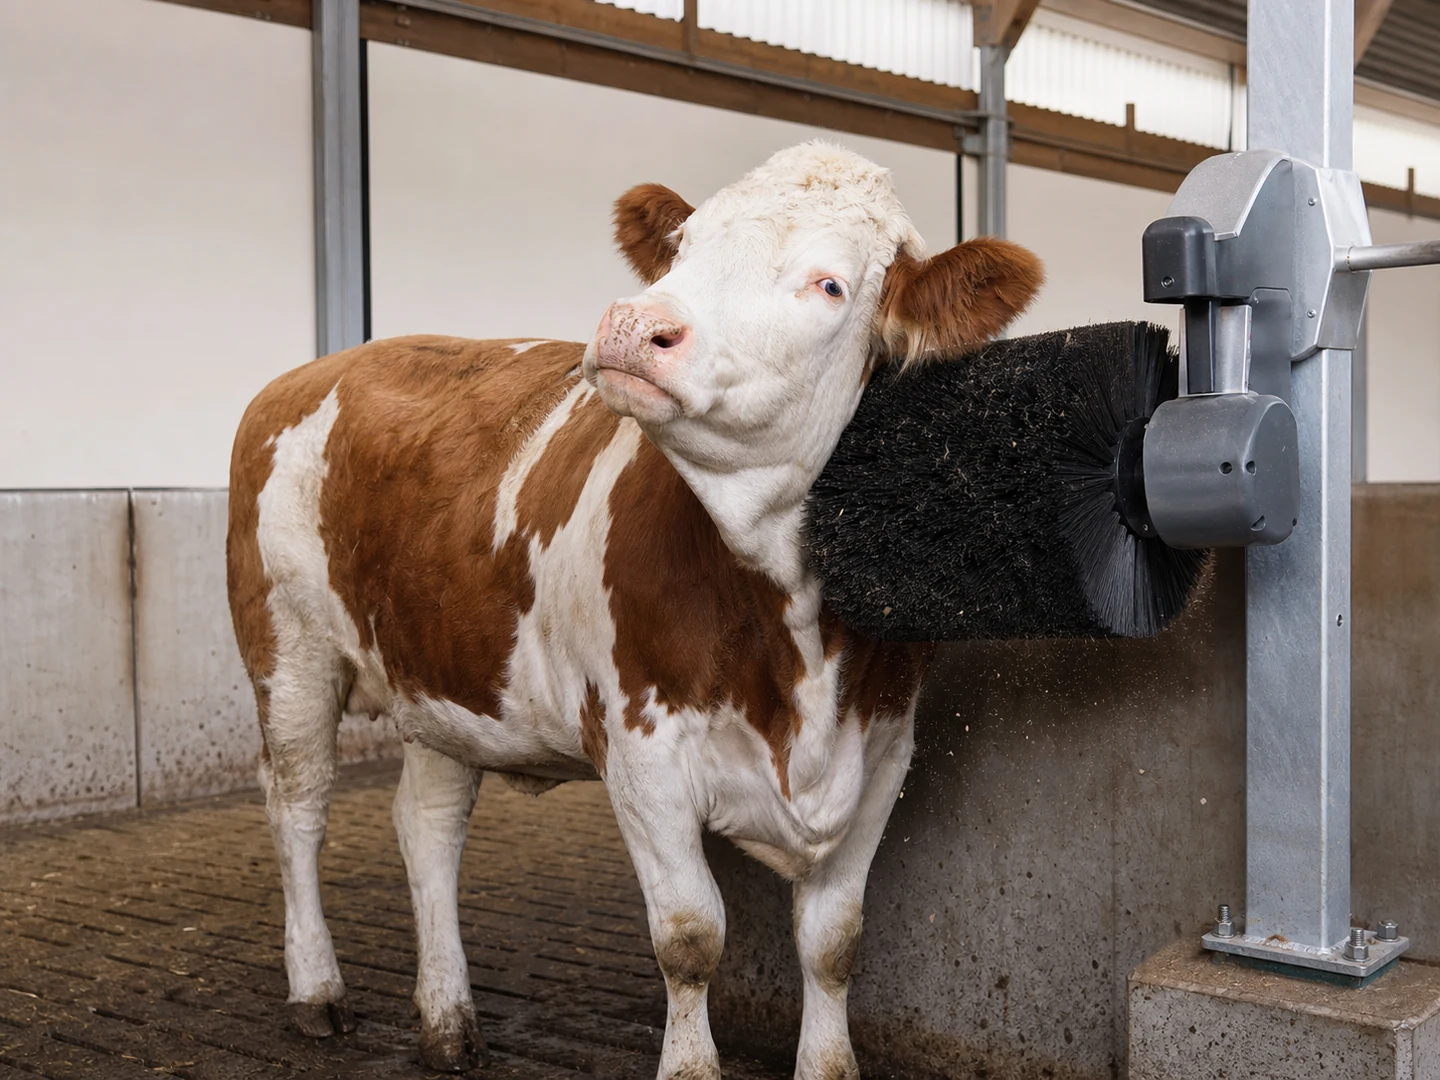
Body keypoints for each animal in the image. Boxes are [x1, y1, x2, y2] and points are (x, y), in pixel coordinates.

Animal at [226, 142, 1042, 1079]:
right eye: (680, 247)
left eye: (831, 284)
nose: (631, 324)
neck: (793, 629)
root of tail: (324, 365)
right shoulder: (641, 754)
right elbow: (690, 936)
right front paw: (689, 1064)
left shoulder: (882, 752)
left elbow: (834, 941)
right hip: (288, 650)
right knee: (298, 806)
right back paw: (317, 989)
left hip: (443, 679)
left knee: (427, 825)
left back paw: (447, 1017)